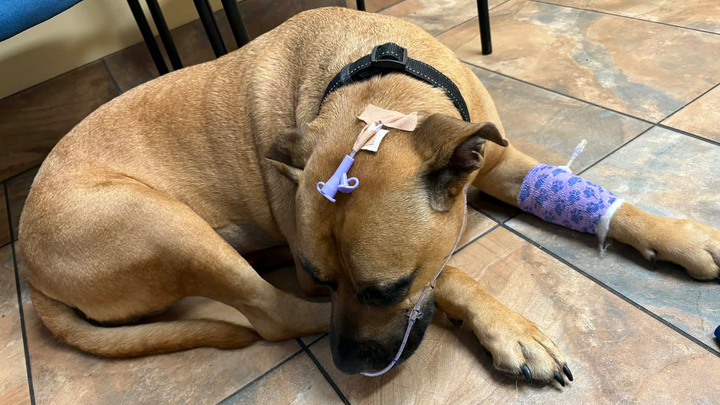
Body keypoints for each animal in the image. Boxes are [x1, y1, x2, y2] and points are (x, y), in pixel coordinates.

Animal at [18, 7, 720, 386]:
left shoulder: (496, 160)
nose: (349, 365)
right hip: (159, 223)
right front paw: (509, 329)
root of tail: (28, 272)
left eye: (383, 291)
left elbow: (600, 201)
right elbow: (449, 272)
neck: (379, 85)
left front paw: (678, 236)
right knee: (269, 314)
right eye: (325, 280)